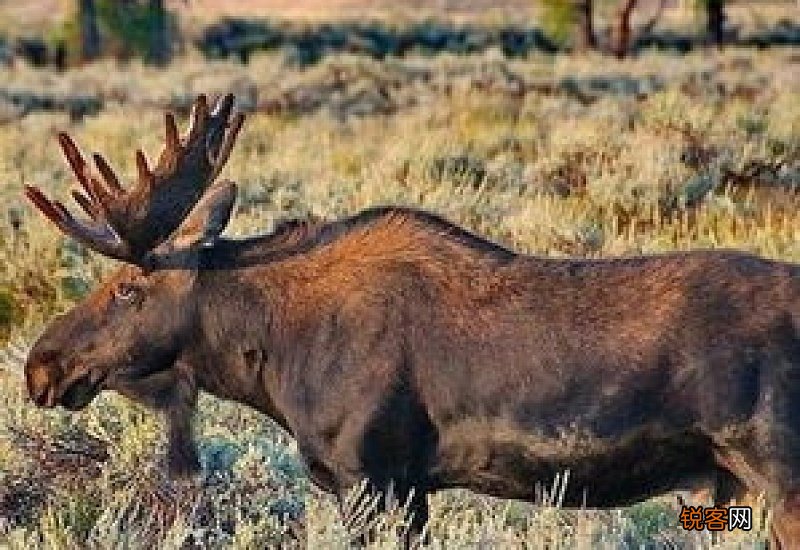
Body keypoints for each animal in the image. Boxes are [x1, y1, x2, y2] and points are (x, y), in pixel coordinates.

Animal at [22, 94, 799, 547]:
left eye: (127, 287)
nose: (40, 365)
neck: (271, 359)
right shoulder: (413, 486)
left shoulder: (369, 474)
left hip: (779, 469)